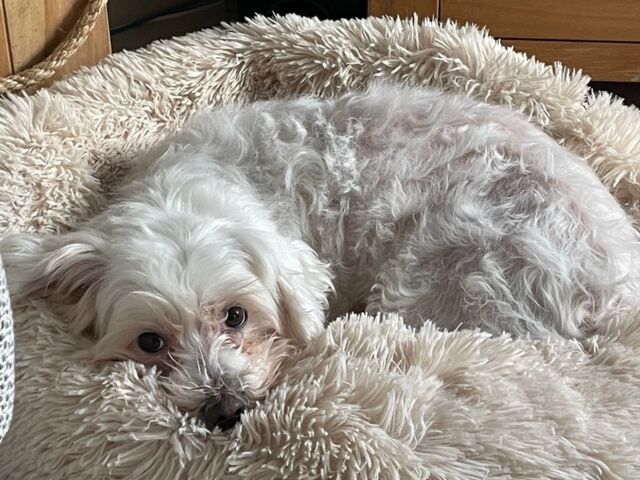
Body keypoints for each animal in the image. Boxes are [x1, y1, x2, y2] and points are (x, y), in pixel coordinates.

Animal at [3, 85, 639, 431]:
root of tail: (611, 295)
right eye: (150, 342)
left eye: (237, 315)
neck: (189, 188)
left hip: (448, 274)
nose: (225, 409)